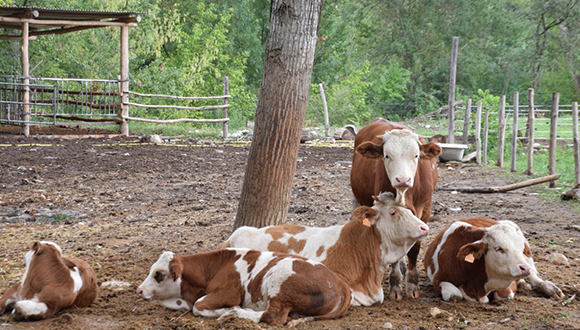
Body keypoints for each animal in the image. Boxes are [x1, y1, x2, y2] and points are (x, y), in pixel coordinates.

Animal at [138, 248, 352, 324]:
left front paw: (226, 310)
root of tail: (340, 282)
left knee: (273, 316)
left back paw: (235, 313)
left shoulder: (227, 293)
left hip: (279, 283)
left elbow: (199, 306)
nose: (139, 290)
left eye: (159, 274)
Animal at [352, 118, 442, 300]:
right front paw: (395, 285)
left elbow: (414, 249)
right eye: (387, 156)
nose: (403, 179)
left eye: (416, 155)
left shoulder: (425, 211)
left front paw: (413, 285)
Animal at [424, 218, 564, 302]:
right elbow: (455, 295)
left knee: (535, 277)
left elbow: (504, 295)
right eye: (498, 248)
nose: (524, 268)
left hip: (529, 261)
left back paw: (551, 289)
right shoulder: (438, 279)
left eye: (521, 248)